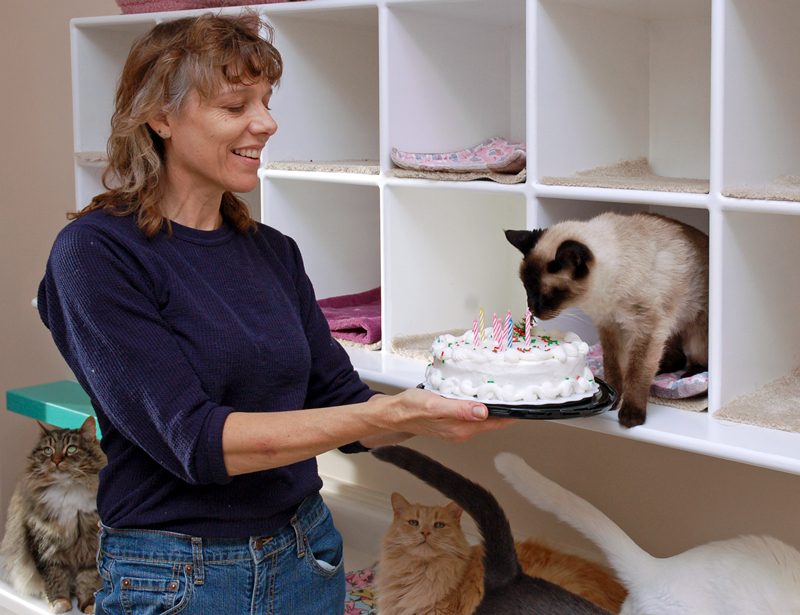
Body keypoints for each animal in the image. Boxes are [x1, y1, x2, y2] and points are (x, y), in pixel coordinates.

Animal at [1, 416, 106, 612]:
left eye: (71, 449)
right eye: (48, 450)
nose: (56, 460)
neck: (67, 491)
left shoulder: (90, 545)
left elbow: (88, 579)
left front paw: (89, 605)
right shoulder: (44, 543)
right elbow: (54, 576)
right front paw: (59, 603)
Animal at [506, 213, 708, 428]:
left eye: (549, 294)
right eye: (527, 288)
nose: (532, 309)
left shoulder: (647, 329)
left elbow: (637, 373)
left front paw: (631, 415)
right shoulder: (610, 326)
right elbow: (614, 367)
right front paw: (614, 399)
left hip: (694, 331)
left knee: (695, 359)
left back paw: (689, 376)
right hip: (668, 331)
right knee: (677, 358)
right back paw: (662, 369)